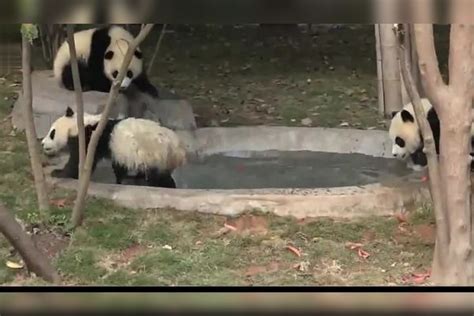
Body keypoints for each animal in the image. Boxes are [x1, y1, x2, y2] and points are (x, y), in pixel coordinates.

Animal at [40, 107, 186, 189]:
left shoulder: (90, 139)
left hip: (156, 155)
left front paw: (59, 172)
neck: (78, 125)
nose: (42, 143)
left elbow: (79, 161)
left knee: (157, 177)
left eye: (52, 133)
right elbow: (118, 166)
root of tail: (179, 150)